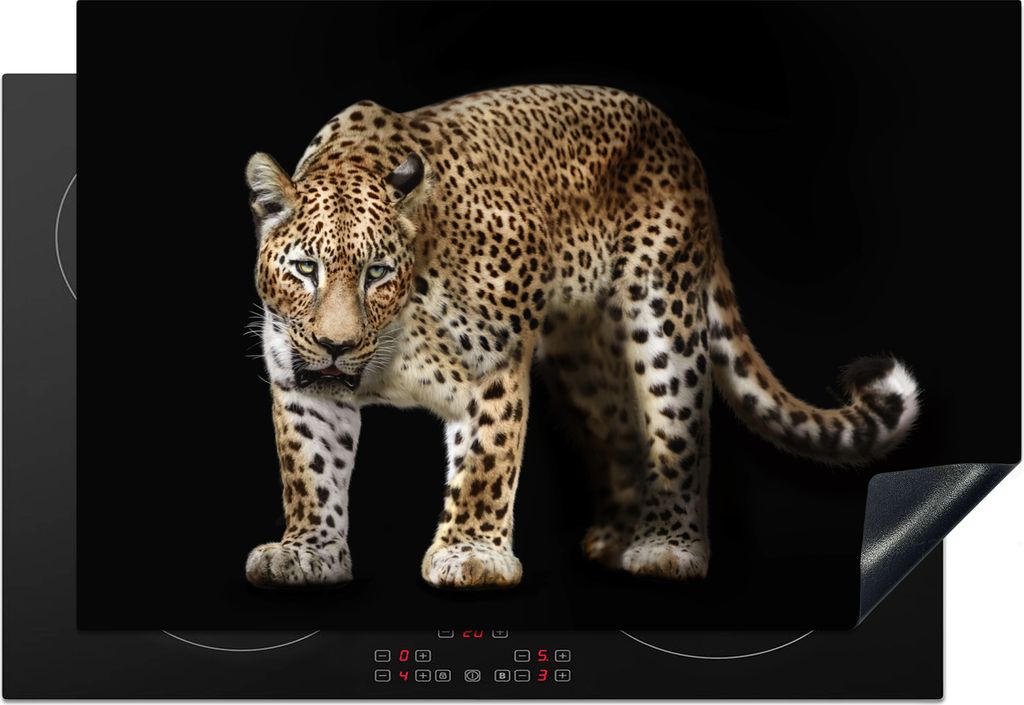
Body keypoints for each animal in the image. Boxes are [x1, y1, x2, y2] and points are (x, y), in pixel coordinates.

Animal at [243, 85, 919, 589]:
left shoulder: (494, 363)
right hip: (584, 361)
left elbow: (486, 461)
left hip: (664, 315)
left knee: (680, 430)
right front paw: (307, 552)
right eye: (305, 269)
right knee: (621, 429)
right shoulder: (303, 384)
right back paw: (614, 539)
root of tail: (678, 142)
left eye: (378, 272)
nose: (336, 344)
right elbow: (309, 468)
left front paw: (472, 554)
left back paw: (667, 546)